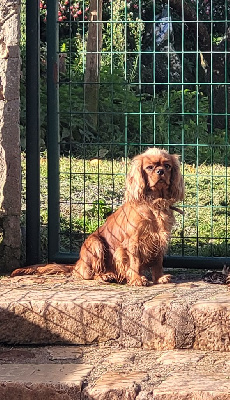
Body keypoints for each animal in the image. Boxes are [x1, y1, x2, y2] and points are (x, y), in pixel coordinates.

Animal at [10, 148, 184, 286]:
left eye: (167, 166)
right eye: (149, 167)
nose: (160, 171)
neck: (154, 204)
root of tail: (77, 264)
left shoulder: (159, 239)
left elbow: (158, 262)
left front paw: (160, 278)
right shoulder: (134, 242)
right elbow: (134, 262)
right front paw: (137, 279)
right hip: (96, 244)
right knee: (90, 274)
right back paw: (106, 276)